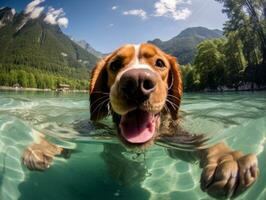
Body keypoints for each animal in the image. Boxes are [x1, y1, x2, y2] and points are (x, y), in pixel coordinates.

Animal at [23, 43, 260, 198]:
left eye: (160, 63)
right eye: (115, 64)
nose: (137, 82)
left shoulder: (177, 140)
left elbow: (201, 142)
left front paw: (226, 158)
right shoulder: (91, 130)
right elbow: (64, 132)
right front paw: (42, 147)